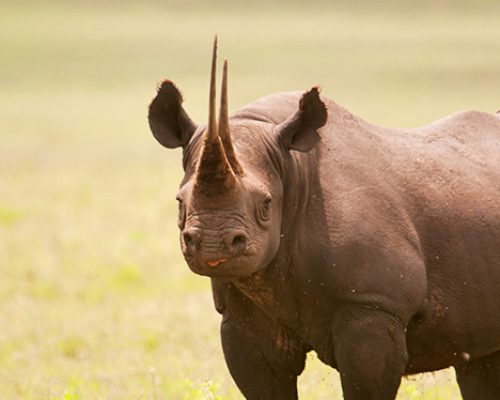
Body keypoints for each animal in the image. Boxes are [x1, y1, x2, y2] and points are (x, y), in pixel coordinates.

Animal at [147, 38, 500, 400]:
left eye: (266, 203)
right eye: (179, 202)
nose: (213, 246)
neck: (290, 167)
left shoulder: (372, 305)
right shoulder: (243, 315)